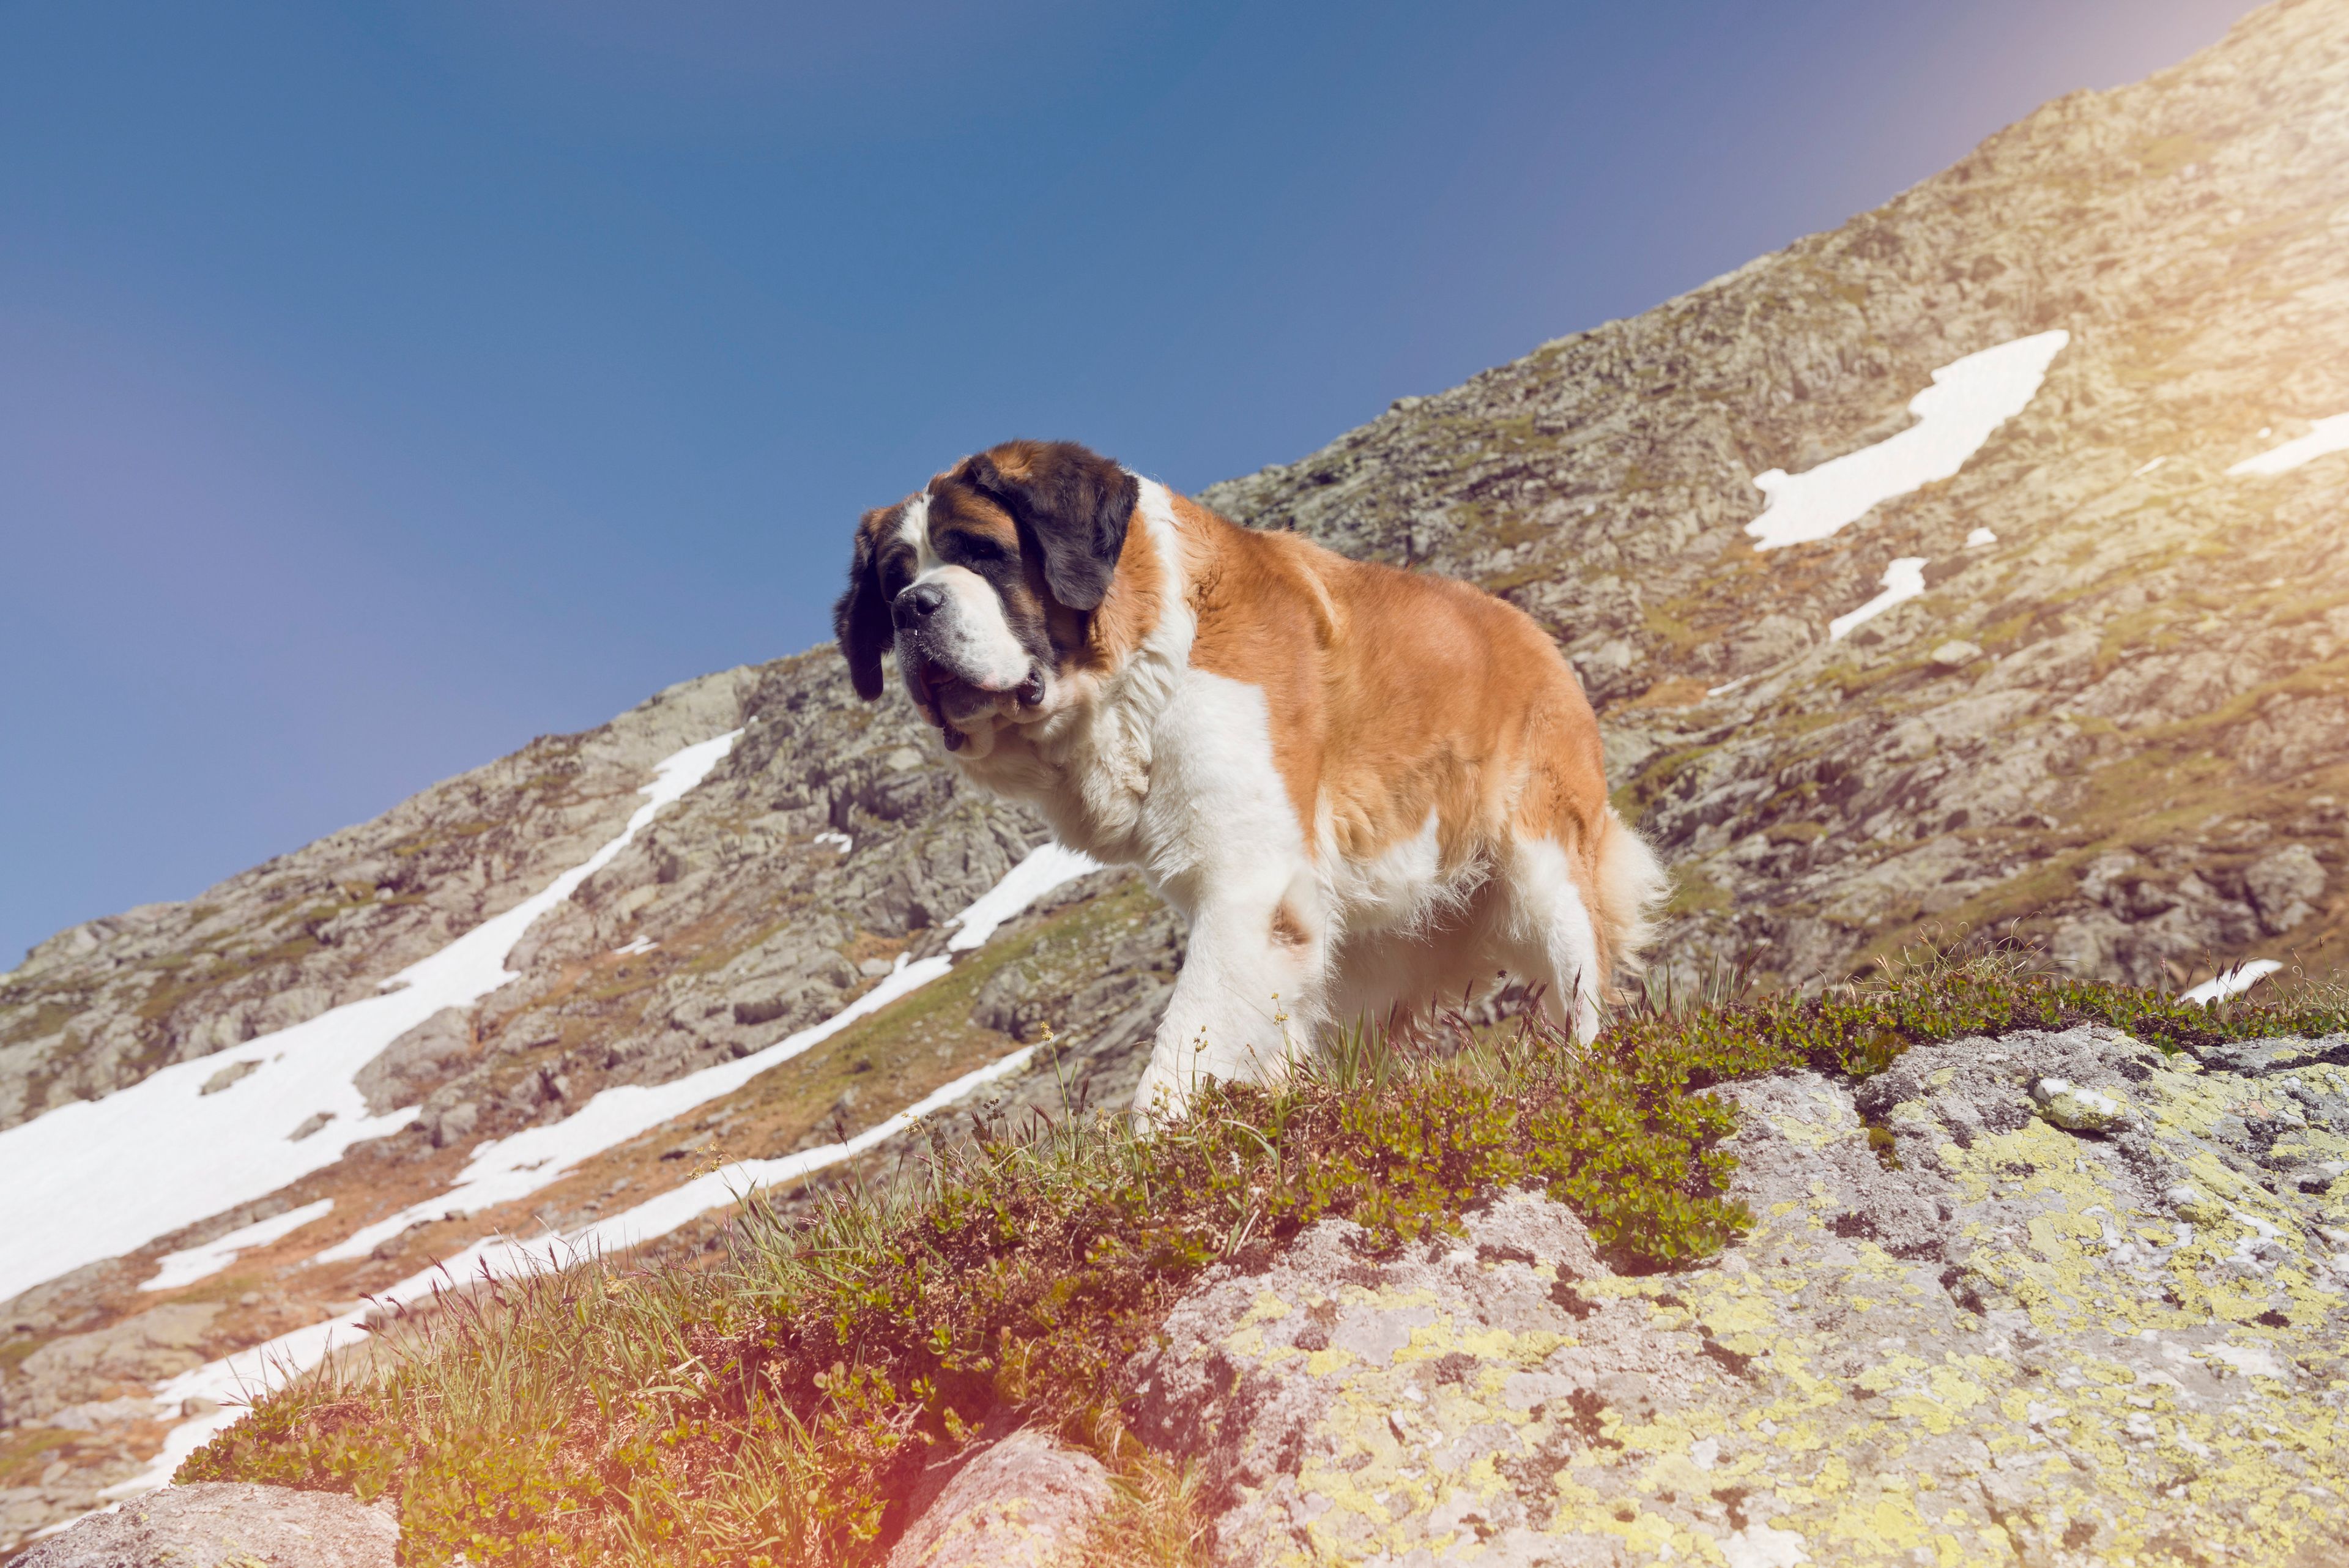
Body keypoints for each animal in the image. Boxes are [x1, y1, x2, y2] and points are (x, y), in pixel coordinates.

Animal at [836, 442, 1663, 1123]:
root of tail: (1533, 632)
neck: (1140, 657)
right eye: (891, 582)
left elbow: (1175, 1059)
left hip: (1542, 866)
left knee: (1578, 984)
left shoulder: (1247, 881)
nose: (914, 607)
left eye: (983, 552)